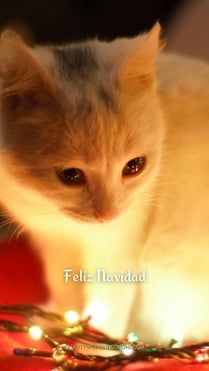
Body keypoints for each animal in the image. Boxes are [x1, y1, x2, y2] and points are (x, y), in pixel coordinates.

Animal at [0, 22, 208, 342]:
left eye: (134, 166)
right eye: (71, 175)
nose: (107, 214)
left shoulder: (120, 243)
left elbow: (111, 295)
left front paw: (99, 335)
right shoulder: (53, 242)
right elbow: (62, 283)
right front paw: (58, 319)